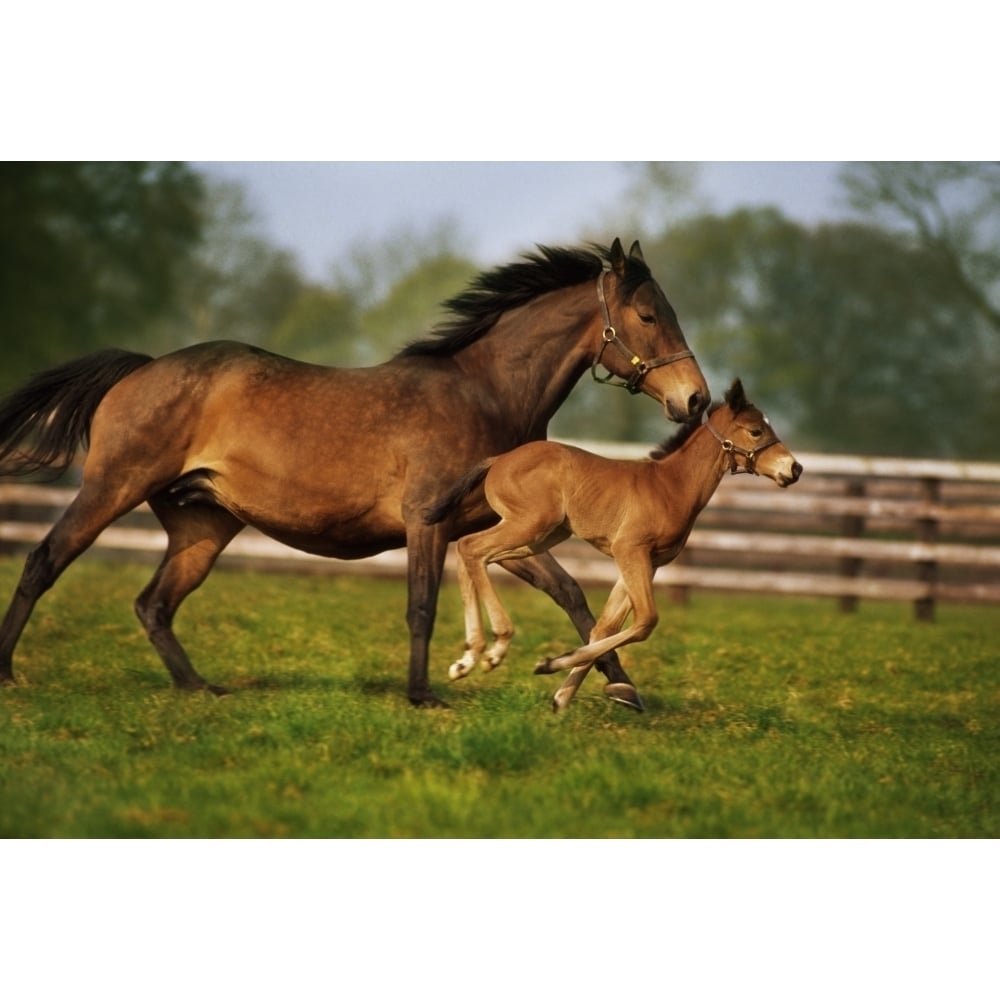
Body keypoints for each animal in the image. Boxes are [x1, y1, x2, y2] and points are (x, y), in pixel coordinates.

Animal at [0, 240, 712, 712]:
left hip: (201, 525)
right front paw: (426, 694)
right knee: (43, 562)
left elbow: (573, 597)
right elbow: (422, 606)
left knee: (154, 603)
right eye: (649, 315)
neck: (485, 394)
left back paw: (200, 688)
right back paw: (8, 672)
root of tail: (141, 368)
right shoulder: (430, 522)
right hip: (111, 488)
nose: (696, 400)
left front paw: (620, 687)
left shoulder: (504, 530)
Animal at [426, 376, 800, 712]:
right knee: (473, 547)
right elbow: (645, 620)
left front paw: (561, 696)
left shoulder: (648, 562)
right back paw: (495, 648)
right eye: (756, 431)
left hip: (540, 536)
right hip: (529, 525)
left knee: (471, 552)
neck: (670, 486)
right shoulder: (630, 551)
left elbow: (605, 626)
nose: (794, 469)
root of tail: (498, 461)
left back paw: (467, 658)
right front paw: (550, 665)